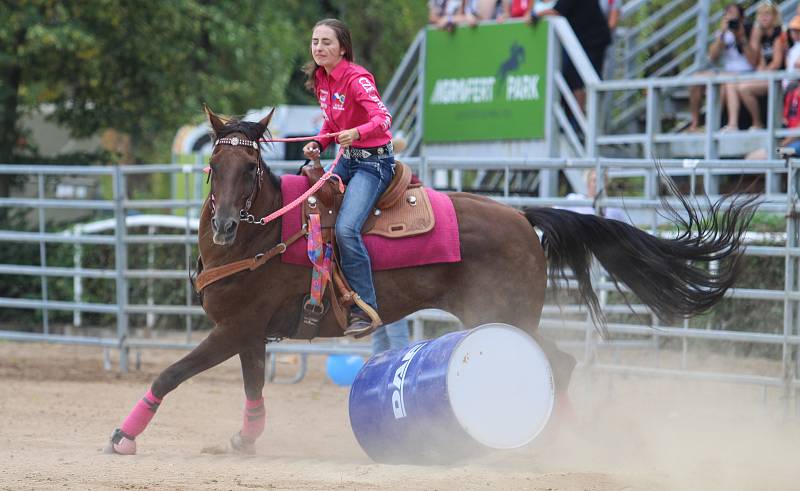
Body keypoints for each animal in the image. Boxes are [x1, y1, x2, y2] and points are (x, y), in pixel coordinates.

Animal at [104, 107, 756, 458]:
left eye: (252, 167)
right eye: (214, 166)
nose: (224, 223)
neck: (263, 237)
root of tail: (522, 215)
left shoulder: (234, 327)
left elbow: (168, 373)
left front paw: (122, 436)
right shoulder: (250, 333)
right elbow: (254, 388)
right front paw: (245, 440)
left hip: (506, 314)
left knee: (560, 363)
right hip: (497, 315)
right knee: (562, 362)